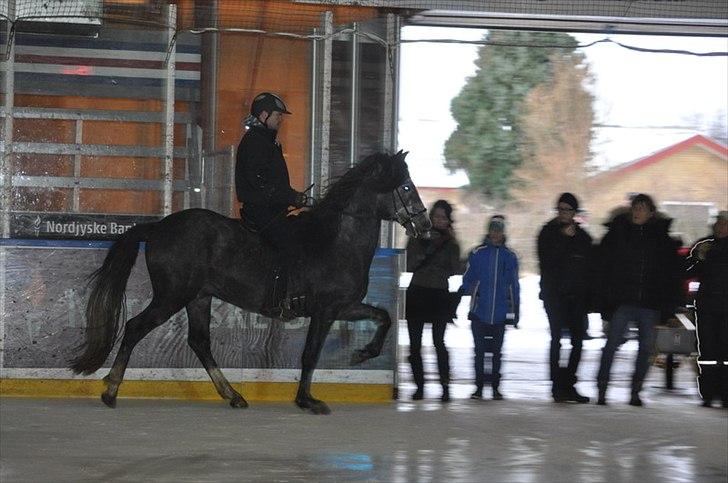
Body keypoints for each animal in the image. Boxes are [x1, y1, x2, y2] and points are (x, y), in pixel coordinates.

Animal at [69, 152, 432, 416]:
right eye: (405, 187)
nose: (425, 225)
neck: (337, 241)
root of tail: (158, 227)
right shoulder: (328, 309)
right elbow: (311, 354)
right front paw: (308, 400)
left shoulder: (343, 307)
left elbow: (383, 316)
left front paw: (363, 353)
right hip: (172, 296)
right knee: (135, 328)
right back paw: (111, 390)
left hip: (198, 298)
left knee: (199, 342)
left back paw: (233, 395)